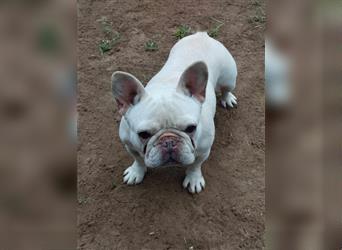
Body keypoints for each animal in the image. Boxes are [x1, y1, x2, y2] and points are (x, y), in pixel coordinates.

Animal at [111, 31, 236, 193]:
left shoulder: (203, 151)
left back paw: (228, 98)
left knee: (226, 89)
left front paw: (193, 179)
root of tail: (201, 35)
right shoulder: (130, 145)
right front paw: (136, 172)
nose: (169, 141)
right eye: (143, 134)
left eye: (191, 128)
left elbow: (195, 165)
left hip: (229, 77)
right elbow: (138, 159)